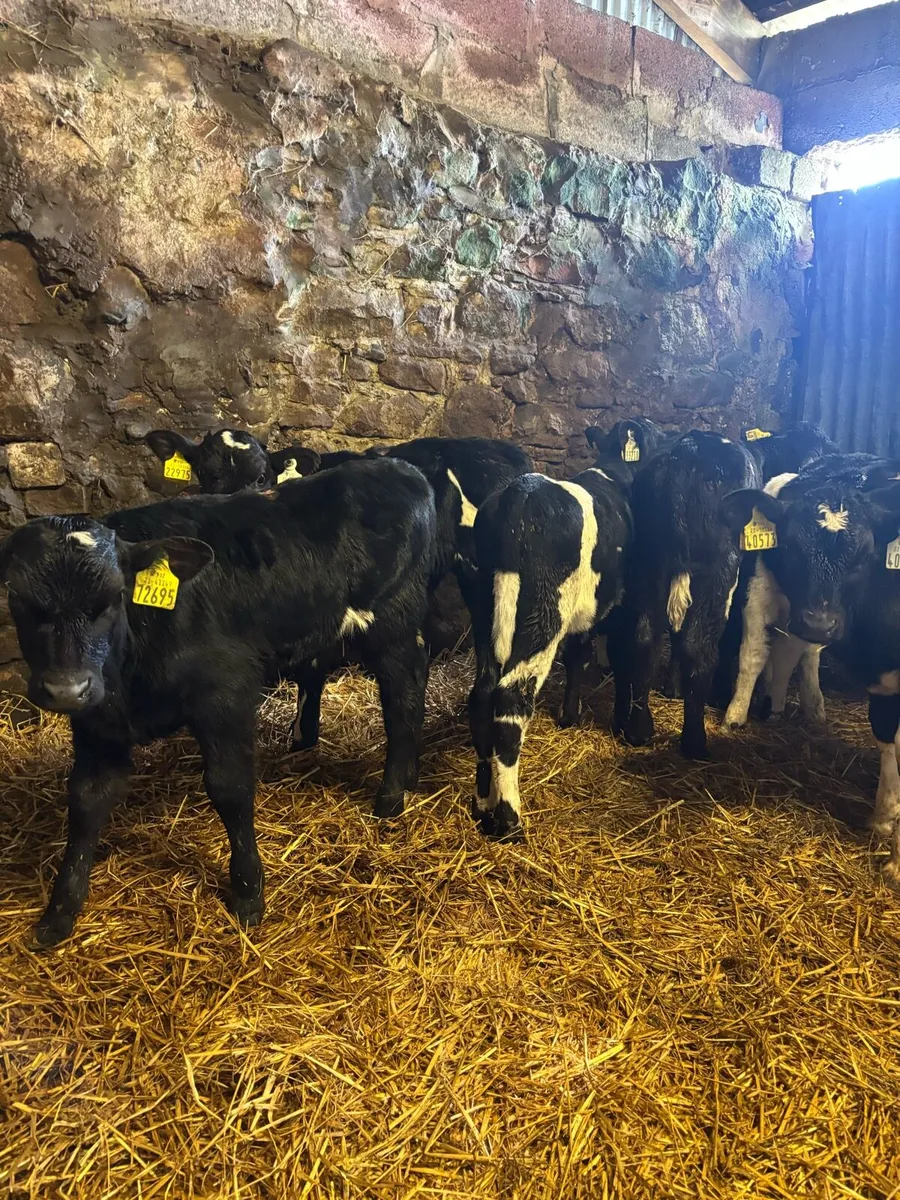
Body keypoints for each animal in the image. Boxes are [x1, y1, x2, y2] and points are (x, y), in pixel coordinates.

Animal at [0, 457, 436, 945]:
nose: (66, 688)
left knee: (403, 696)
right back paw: (408, 776)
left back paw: (392, 796)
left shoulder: (225, 695)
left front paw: (248, 892)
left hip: (393, 624)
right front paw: (59, 912)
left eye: (113, 598)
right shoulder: (98, 719)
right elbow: (86, 800)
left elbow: (230, 788)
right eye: (17, 598)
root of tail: (396, 465)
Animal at [467, 465, 633, 841]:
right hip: (543, 613)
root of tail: (522, 490)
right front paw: (572, 715)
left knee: (482, 693)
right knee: (512, 696)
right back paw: (509, 817)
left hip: (482, 607)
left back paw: (483, 804)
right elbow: (583, 656)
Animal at [615, 431, 768, 760]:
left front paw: (673, 688)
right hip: (718, 568)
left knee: (645, 637)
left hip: (650, 559)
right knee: (700, 647)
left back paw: (638, 730)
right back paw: (695, 741)